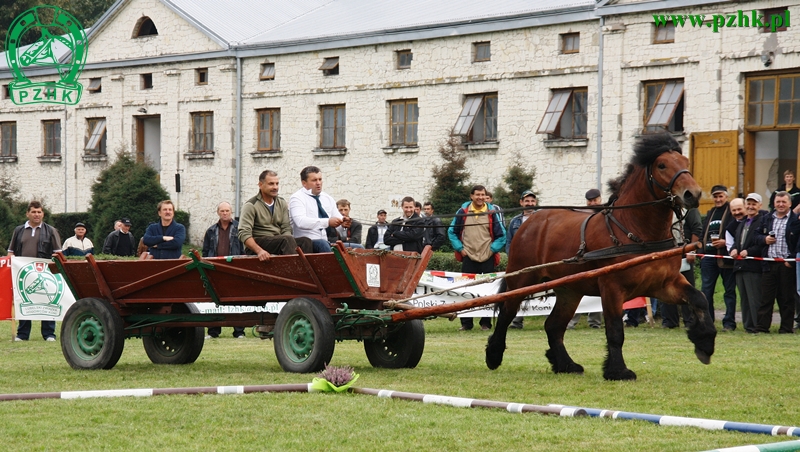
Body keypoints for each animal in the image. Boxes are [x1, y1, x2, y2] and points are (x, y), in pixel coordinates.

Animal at [488, 134, 720, 382]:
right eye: (662, 165)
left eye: (686, 161)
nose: (692, 194)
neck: (637, 231)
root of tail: (530, 220)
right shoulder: (612, 287)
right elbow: (615, 330)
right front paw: (618, 370)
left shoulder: (663, 284)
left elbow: (699, 298)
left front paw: (705, 343)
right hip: (522, 280)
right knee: (507, 314)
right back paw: (493, 355)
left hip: (569, 290)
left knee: (553, 326)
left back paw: (566, 364)